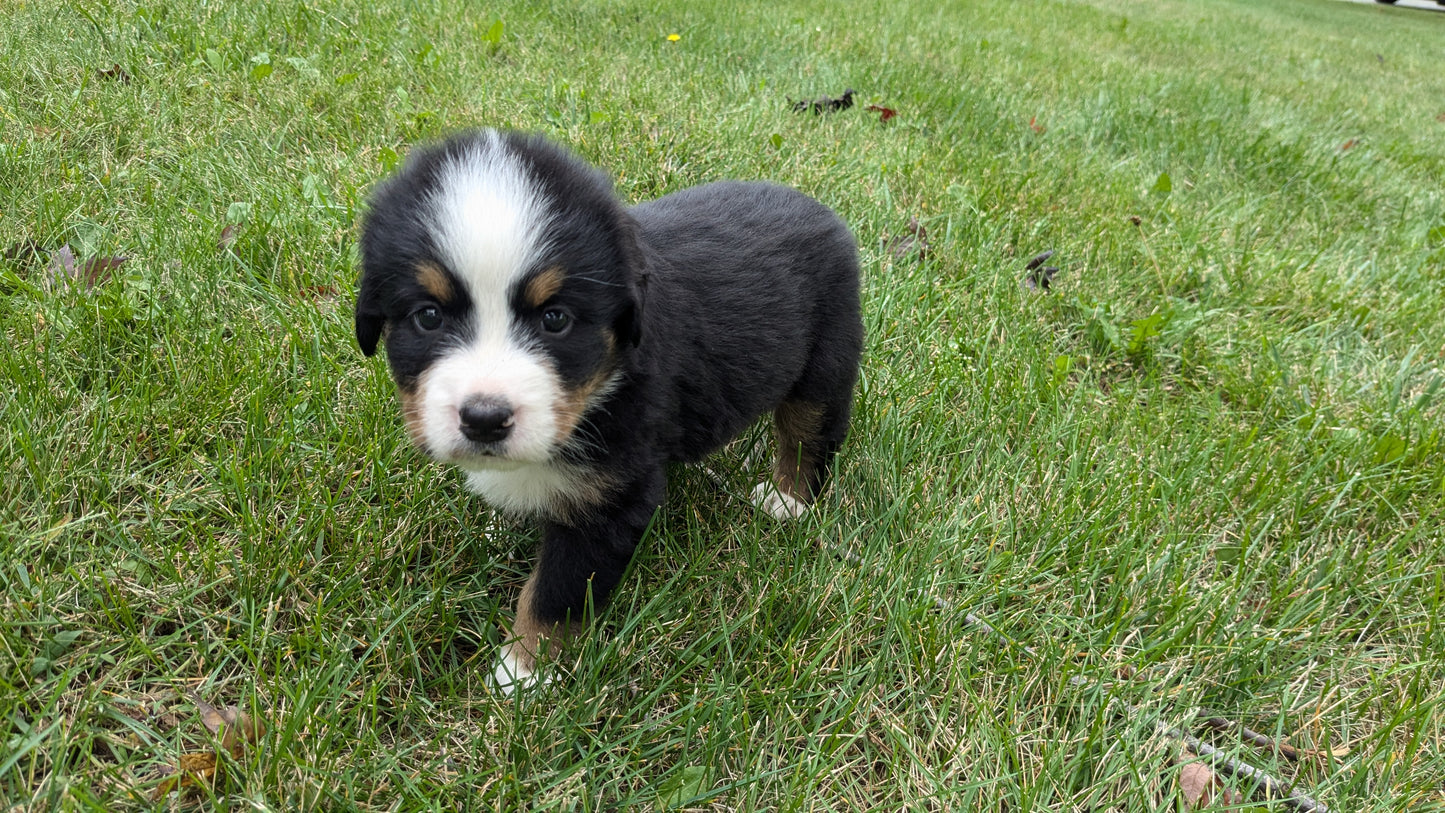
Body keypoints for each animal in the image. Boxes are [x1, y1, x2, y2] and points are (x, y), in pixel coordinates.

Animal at [355, 130, 861, 690]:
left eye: (555, 319)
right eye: (428, 316)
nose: (484, 419)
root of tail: (817, 207)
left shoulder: (610, 496)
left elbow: (555, 592)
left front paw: (523, 672)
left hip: (826, 360)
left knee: (810, 433)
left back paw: (788, 499)